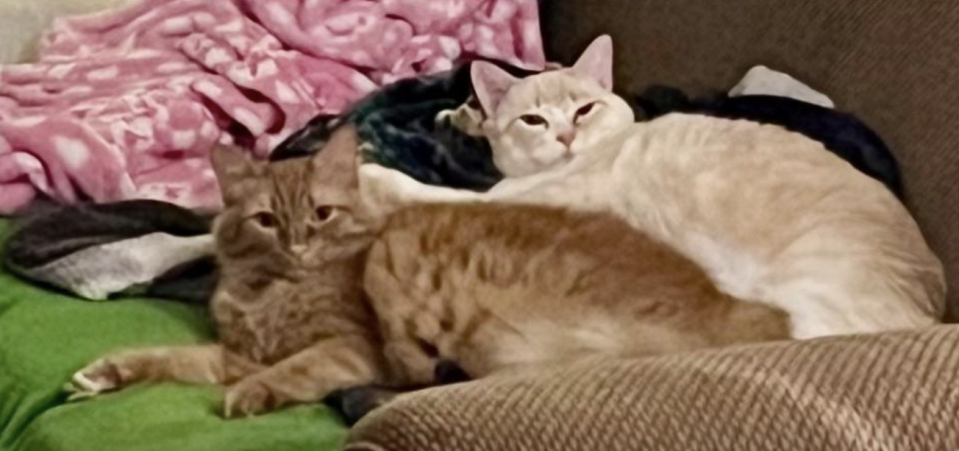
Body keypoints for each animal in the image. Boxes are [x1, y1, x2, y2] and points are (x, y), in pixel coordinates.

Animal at [69, 125, 788, 418]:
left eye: (321, 214)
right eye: (269, 220)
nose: (299, 247)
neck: (265, 291)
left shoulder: (348, 345)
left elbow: (291, 370)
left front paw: (252, 397)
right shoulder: (235, 351)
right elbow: (168, 356)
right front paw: (105, 372)